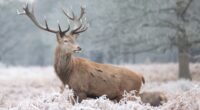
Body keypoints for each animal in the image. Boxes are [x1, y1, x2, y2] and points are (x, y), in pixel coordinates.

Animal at [17, 1, 145, 103]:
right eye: (65, 40)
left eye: (74, 40)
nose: (79, 47)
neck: (67, 76)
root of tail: (141, 76)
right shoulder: (72, 92)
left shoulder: (81, 91)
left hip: (129, 94)